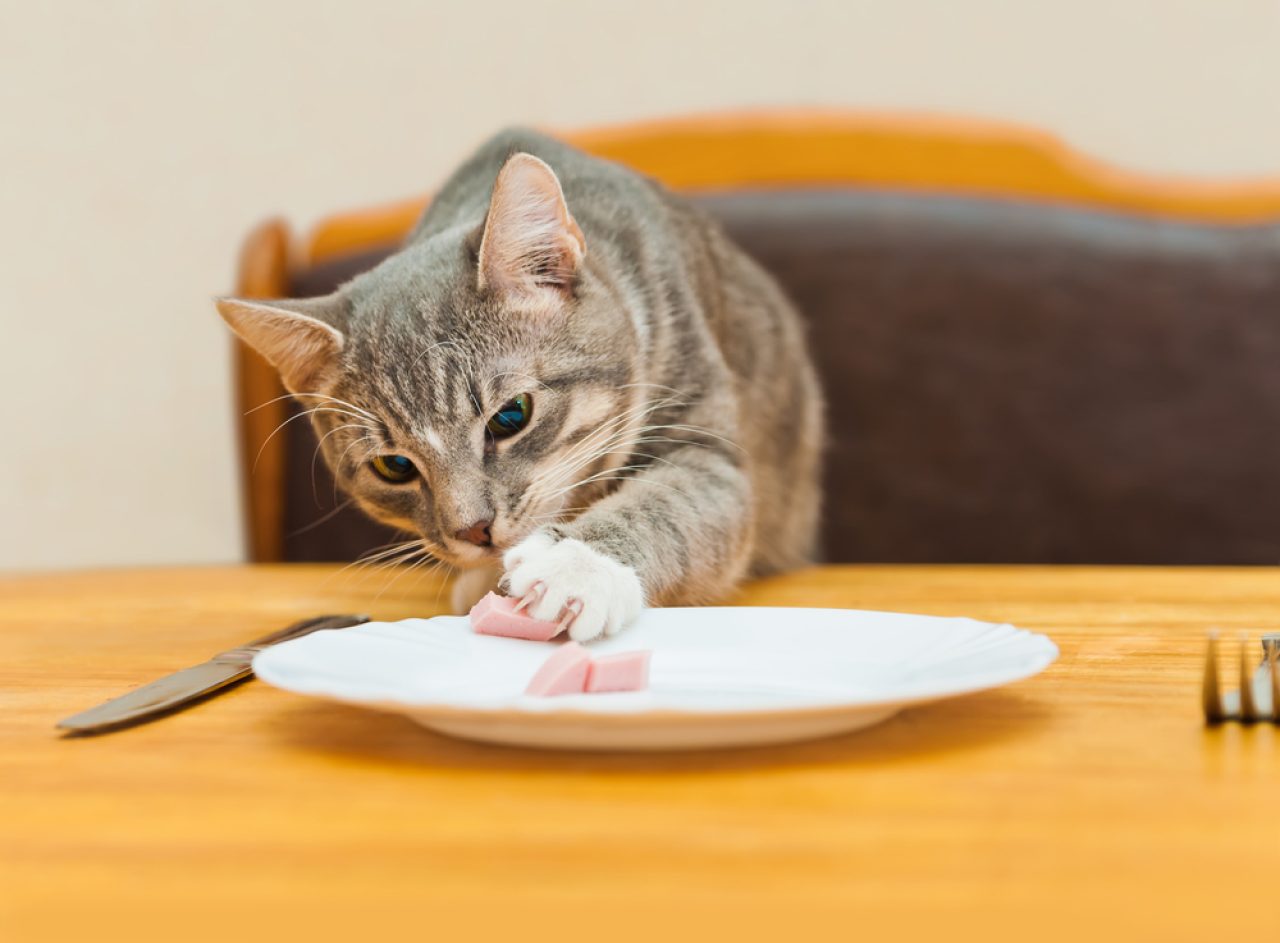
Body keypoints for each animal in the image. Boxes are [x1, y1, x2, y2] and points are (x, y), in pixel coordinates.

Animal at [216, 126, 824, 639]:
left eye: (511, 416)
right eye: (393, 466)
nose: (473, 530)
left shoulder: (709, 447)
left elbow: (670, 502)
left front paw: (575, 569)